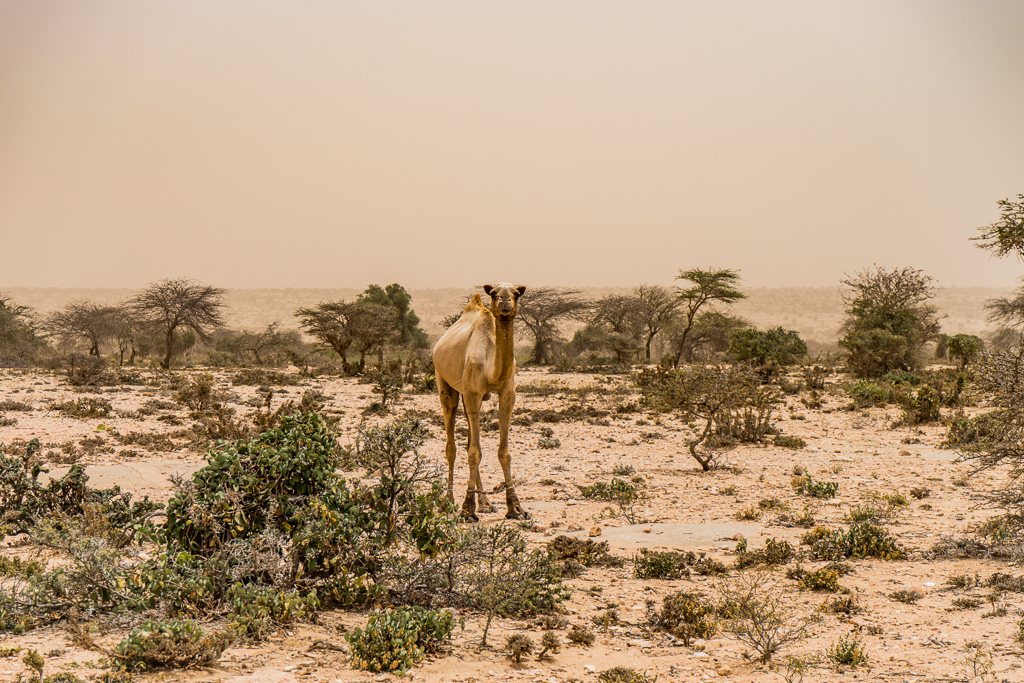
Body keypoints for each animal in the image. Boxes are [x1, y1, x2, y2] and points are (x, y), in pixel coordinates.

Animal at [430, 282, 528, 524]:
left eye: (517, 293)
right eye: (493, 293)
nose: (504, 301)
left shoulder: (507, 395)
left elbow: (503, 452)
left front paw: (515, 507)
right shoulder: (473, 393)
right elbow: (474, 452)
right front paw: (467, 508)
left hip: (467, 396)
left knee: (468, 442)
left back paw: (484, 503)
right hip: (445, 384)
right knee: (452, 446)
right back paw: (448, 502)